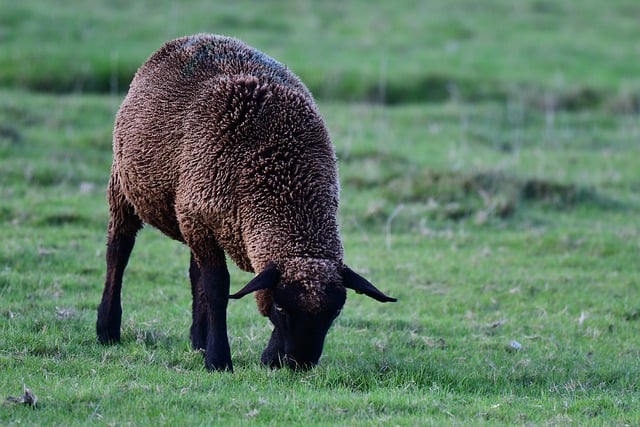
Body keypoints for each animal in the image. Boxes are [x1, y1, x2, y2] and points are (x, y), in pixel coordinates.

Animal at [96, 35, 396, 372]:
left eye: (335, 313)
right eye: (281, 307)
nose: (299, 364)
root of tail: (194, 37)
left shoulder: (200, 217)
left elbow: (209, 282)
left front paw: (227, 352)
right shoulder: (201, 219)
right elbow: (217, 288)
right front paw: (218, 360)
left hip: (187, 211)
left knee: (193, 272)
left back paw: (198, 340)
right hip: (125, 185)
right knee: (118, 250)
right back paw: (107, 329)